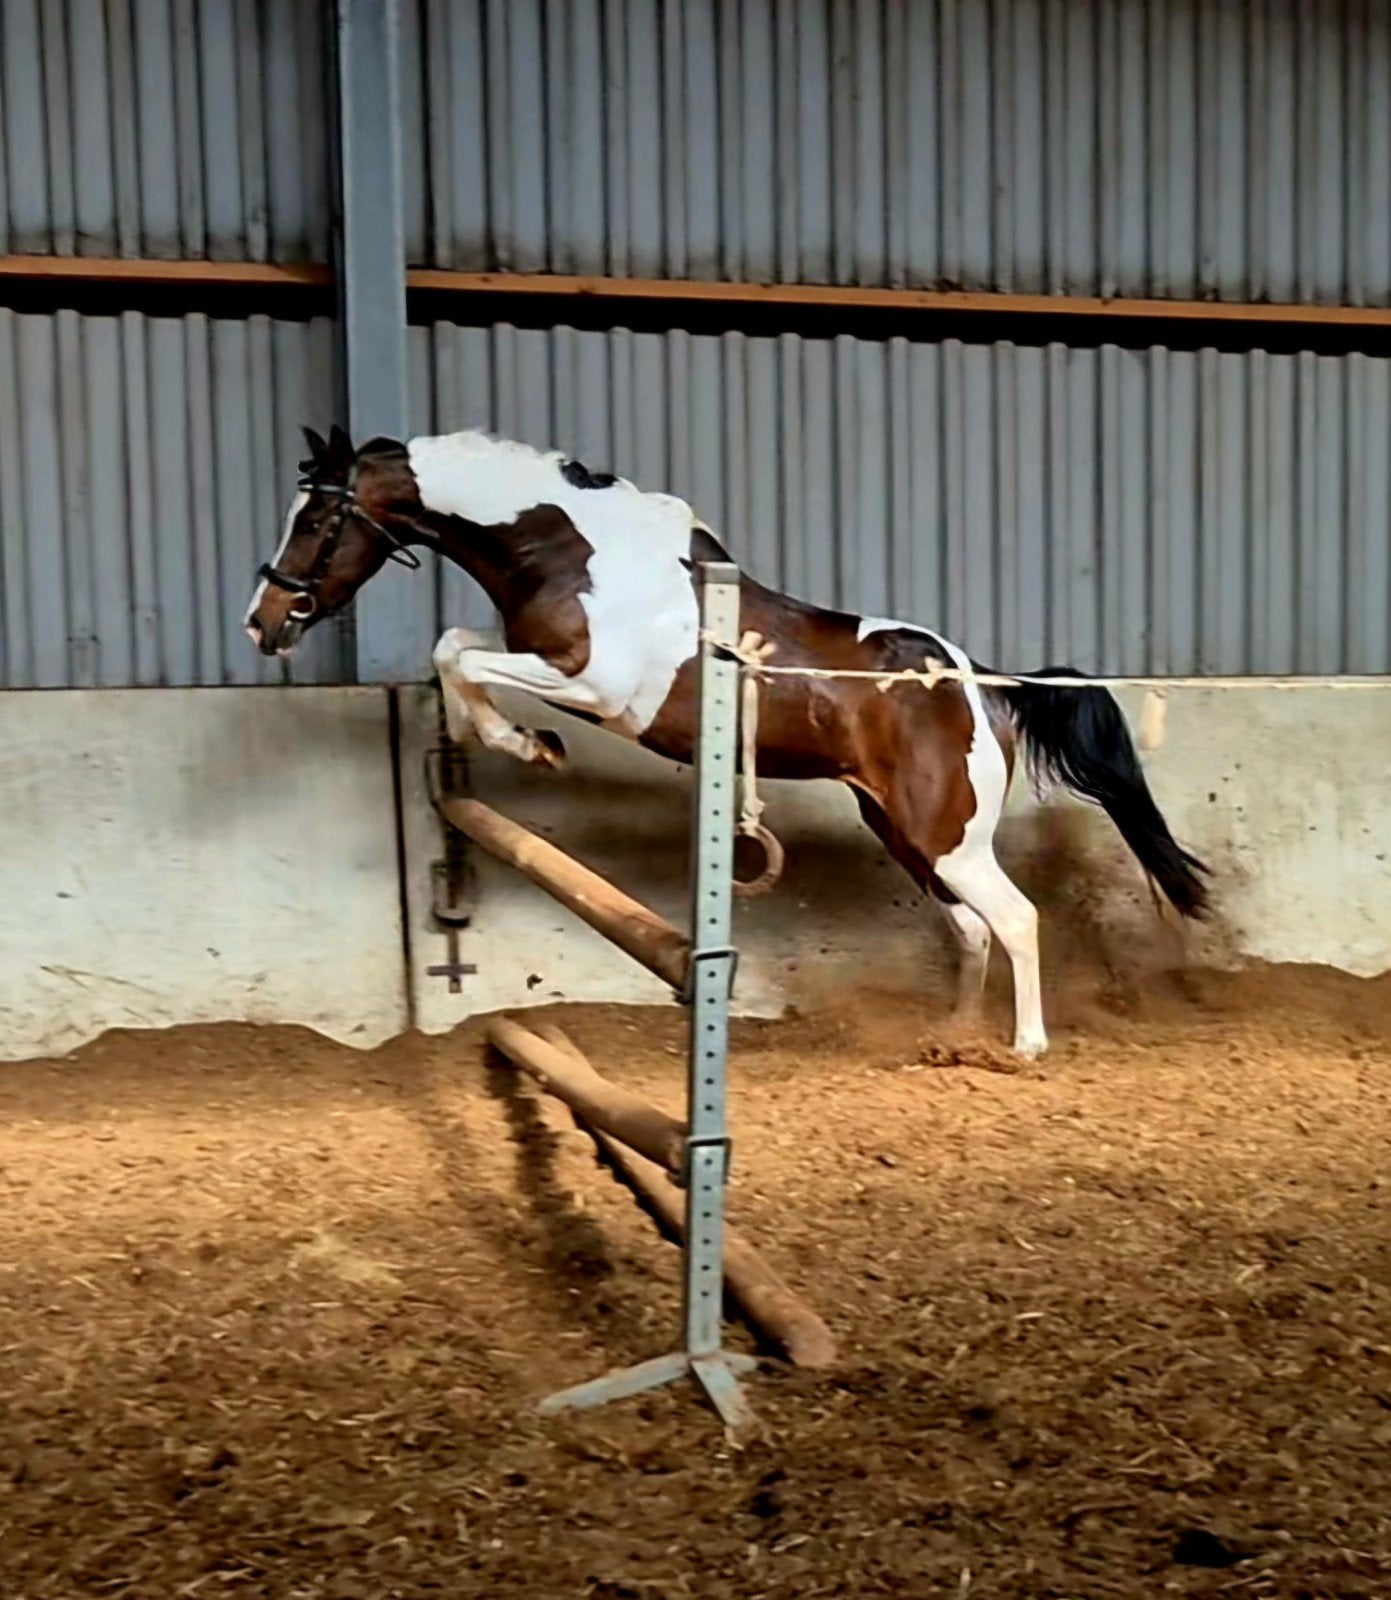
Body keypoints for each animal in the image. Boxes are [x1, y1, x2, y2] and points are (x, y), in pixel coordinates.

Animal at [246, 424, 1210, 1057]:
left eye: (315, 522)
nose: (263, 621)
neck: (574, 552)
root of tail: (983, 685)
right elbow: (454, 648)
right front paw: (510, 738)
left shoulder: (595, 688)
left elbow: (461, 654)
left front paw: (526, 743)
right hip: (905, 834)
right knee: (972, 931)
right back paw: (949, 1037)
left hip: (948, 840)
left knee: (1013, 920)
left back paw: (1023, 1049)